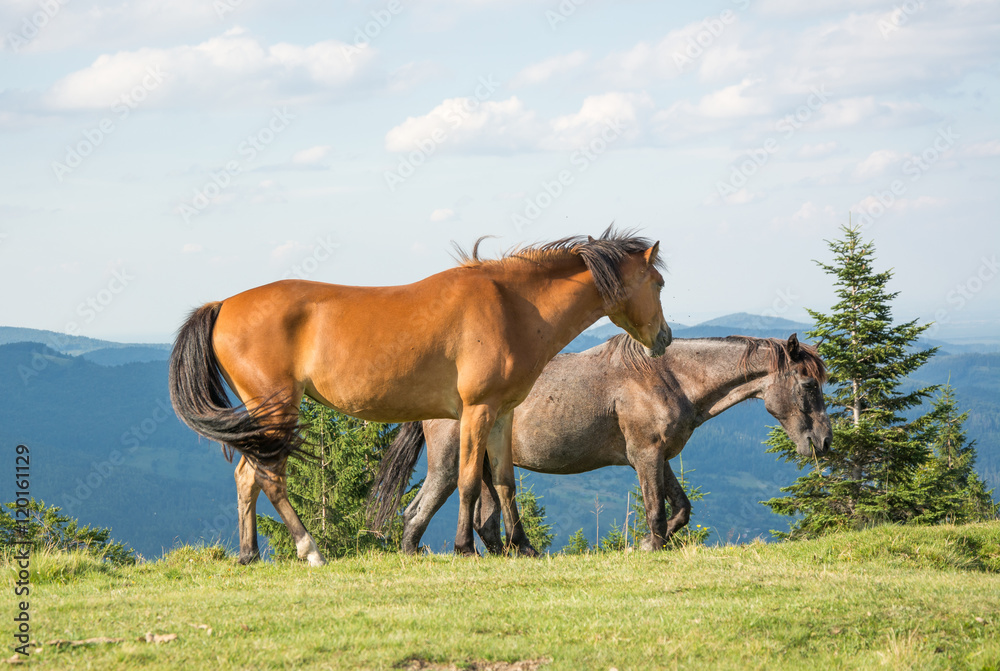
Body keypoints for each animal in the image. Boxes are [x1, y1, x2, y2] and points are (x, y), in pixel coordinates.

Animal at [168, 228, 671, 565]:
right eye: (659, 284)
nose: (664, 338)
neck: (511, 304)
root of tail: (223, 305)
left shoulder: (503, 414)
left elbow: (504, 481)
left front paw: (521, 546)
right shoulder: (477, 411)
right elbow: (469, 481)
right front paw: (466, 547)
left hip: (263, 417)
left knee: (246, 477)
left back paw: (249, 554)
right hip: (276, 410)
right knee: (269, 477)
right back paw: (309, 549)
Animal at [370, 333, 831, 553]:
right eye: (809, 385)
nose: (823, 442)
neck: (667, 376)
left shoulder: (658, 457)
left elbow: (681, 508)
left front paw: (653, 541)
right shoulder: (645, 455)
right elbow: (656, 510)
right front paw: (649, 545)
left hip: (483, 465)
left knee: (484, 521)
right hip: (450, 465)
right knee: (416, 513)